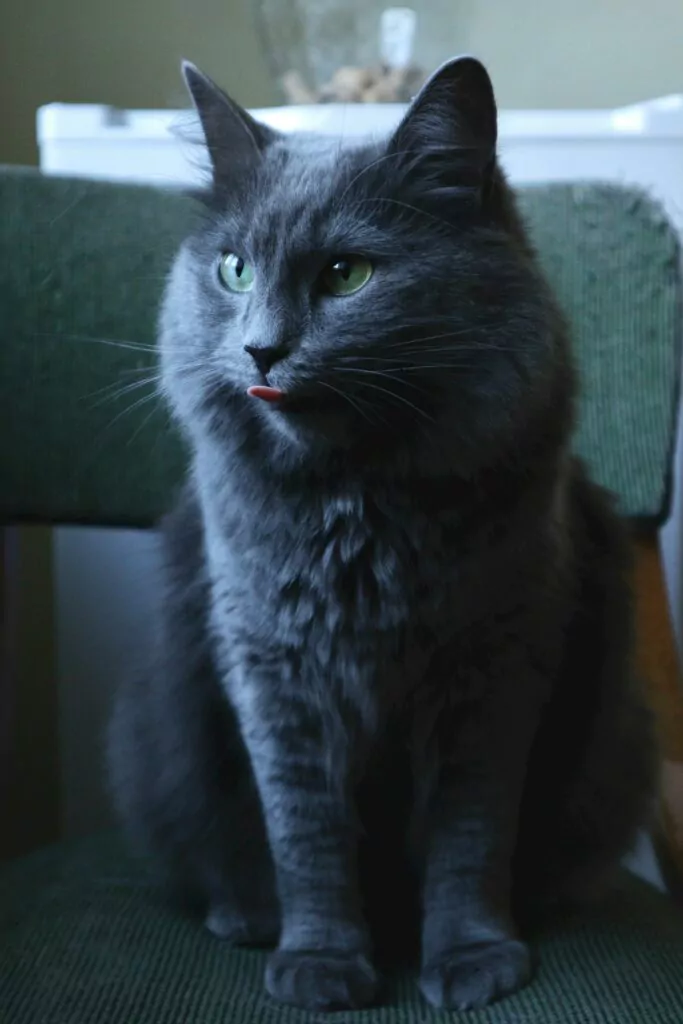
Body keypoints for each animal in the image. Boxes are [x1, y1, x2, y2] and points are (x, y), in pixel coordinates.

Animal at [109, 58, 659, 1015]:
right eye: (234, 270)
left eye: (347, 274)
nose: (259, 350)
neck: (353, 507)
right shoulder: (272, 672)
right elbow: (305, 836)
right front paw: (320, 963)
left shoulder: (494, 668)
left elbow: (469, 837)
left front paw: (474, 958)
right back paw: (243, 917)